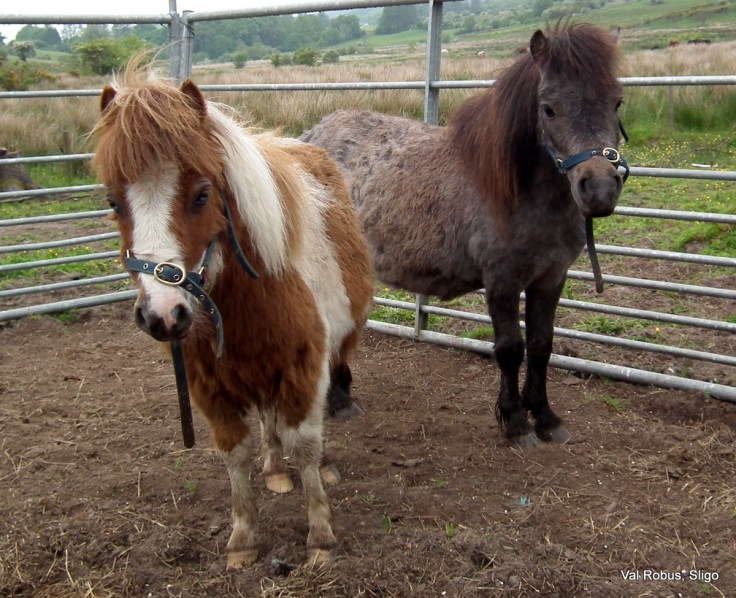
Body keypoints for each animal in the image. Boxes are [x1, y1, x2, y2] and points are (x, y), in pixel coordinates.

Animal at [90, 66, 374, 568]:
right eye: (113, 202)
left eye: (203, 195)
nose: (163, 315)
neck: (253, 300)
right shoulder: (212, 386)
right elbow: (236, 454)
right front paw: (243, 538)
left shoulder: (302, 369)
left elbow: (305, 443)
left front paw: (320, 534)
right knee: (267, 422)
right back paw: (275, 469)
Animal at [301, 23, 629, 449]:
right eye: (549, 108)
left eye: (617, 102)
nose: (600, 190)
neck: (517, 188)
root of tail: (309, 136)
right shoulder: (502, 281)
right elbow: (510, 349)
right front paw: (517, 423)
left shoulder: (550, 279)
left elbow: (542, 345)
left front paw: (545, 418)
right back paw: (337, 400)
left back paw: (341, 393)